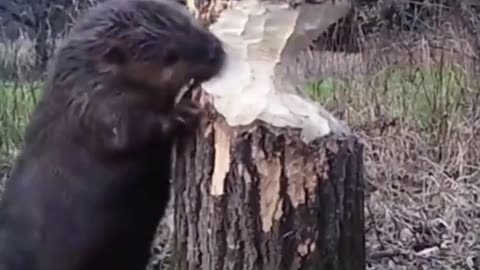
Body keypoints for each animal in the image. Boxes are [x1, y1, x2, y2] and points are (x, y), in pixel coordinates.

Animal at [0, 0, 226, 270]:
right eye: (170, 56)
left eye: (188, 21)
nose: (217, 51)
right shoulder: (95, 106)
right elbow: (128, 133)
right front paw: (185, 110)